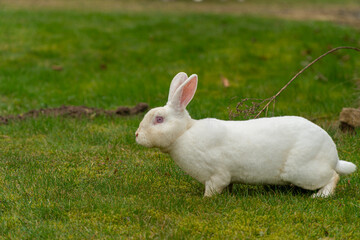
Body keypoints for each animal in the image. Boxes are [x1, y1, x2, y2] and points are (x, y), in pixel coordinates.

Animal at [136, 72, 358, 198]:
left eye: (159, 119)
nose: (137, 135)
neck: (184, 133)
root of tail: (334, 157)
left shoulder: (217, 174)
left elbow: (214, 187)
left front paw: (206, 199)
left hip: (303, 171)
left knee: (334, 176)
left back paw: (320, 196)